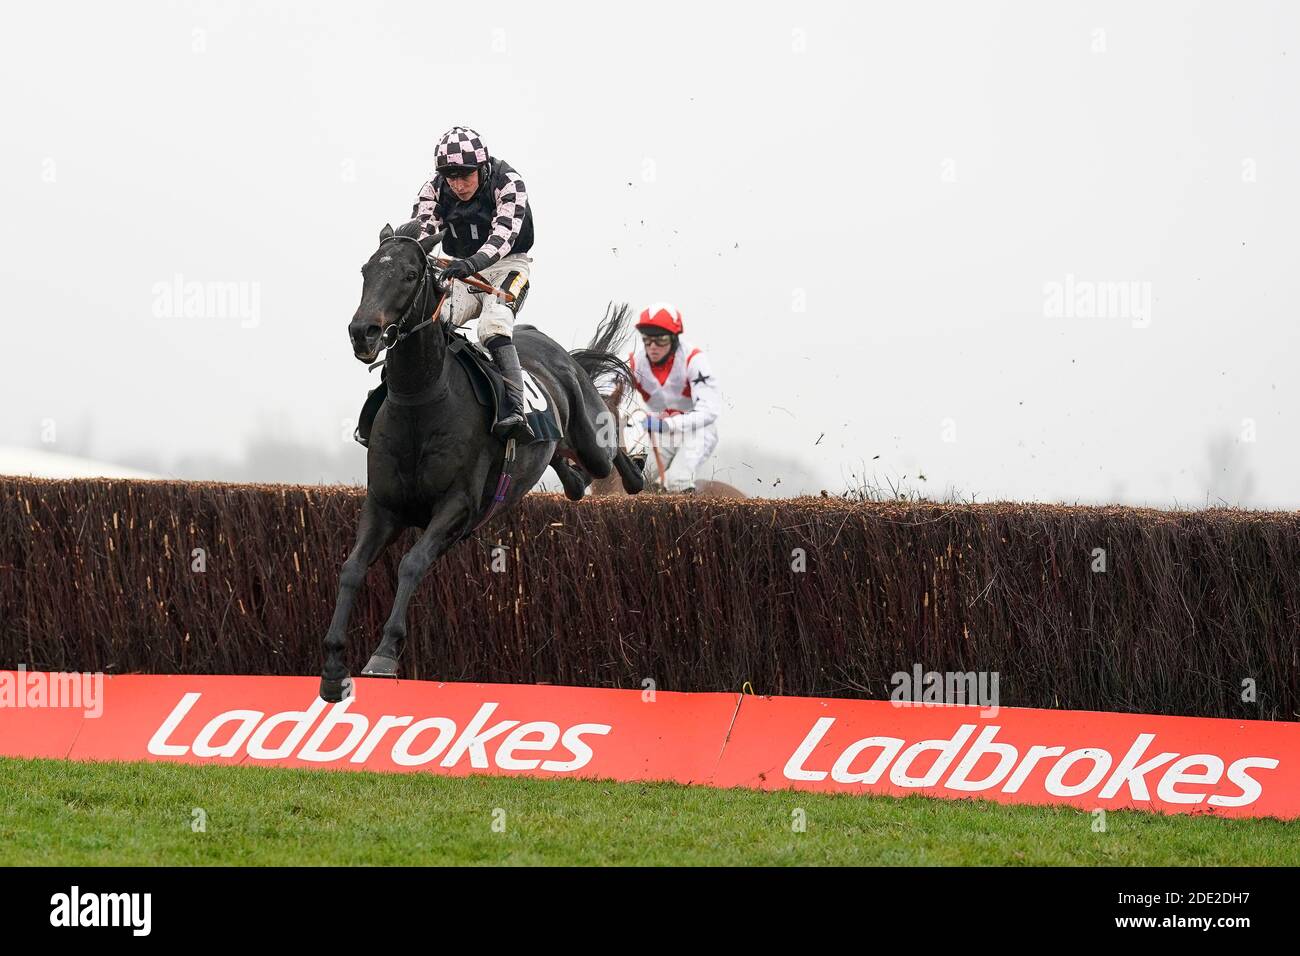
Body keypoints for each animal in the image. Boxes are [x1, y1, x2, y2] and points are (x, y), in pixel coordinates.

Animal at [321, 223, 644, 702]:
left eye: (410, 274)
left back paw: (635, 474)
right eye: (366, 270)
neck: (422, 399)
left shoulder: (457, 507)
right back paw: (573, 478)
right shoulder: (382, 506)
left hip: (590, 436)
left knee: (608, 453)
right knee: (569, 475)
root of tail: (556, 349)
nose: (364, 332)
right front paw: (332, 660)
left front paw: (384, 653)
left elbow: (411, 562)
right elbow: (352, 568)